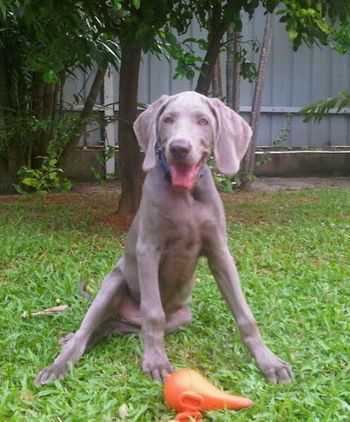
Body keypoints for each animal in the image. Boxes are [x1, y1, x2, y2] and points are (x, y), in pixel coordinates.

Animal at [35, 92, 292, 386]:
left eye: (203, 121)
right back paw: (61, 361)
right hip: (113, 284)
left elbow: (245, 314)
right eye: (168, 119)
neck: (186, 194)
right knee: (88, 330)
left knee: (111, 326)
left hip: (181, 316)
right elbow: (153, 313)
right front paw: (156, 361)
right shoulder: (148, 250)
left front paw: (269, 362)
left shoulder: (220, 252)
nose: (179, 147)